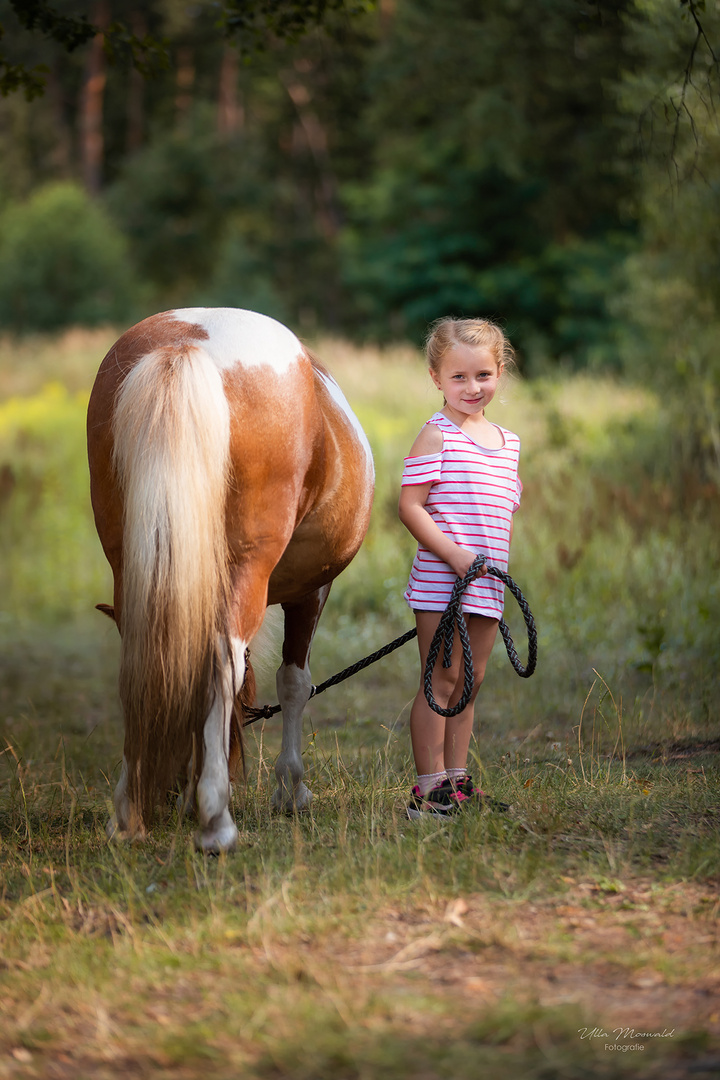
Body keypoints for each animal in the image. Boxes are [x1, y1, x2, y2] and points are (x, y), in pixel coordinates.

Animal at [87, 306, 375, 851]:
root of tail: (186, 341)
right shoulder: (312, 590)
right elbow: (294, 682)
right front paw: (291, 790)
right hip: (247, 566)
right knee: (221, 661)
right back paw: (217, 821)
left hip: (130, 561)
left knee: (151, 650)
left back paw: (129, 814)